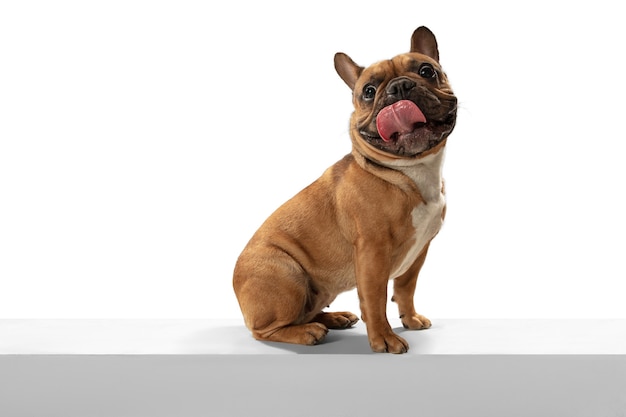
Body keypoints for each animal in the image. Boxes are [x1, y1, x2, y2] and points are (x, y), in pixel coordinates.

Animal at [232, 25, 456, 352]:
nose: (401, 87)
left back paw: (333, 318)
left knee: (307, 311)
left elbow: (405, 288)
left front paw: (410, 318)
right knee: (266, 330)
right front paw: (384, 339)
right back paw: (307, 332)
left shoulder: (419, 251)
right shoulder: (372, 253)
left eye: (427, 71)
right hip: (287, 275)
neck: (407, 170)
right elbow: (375, 300)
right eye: (369, 91)